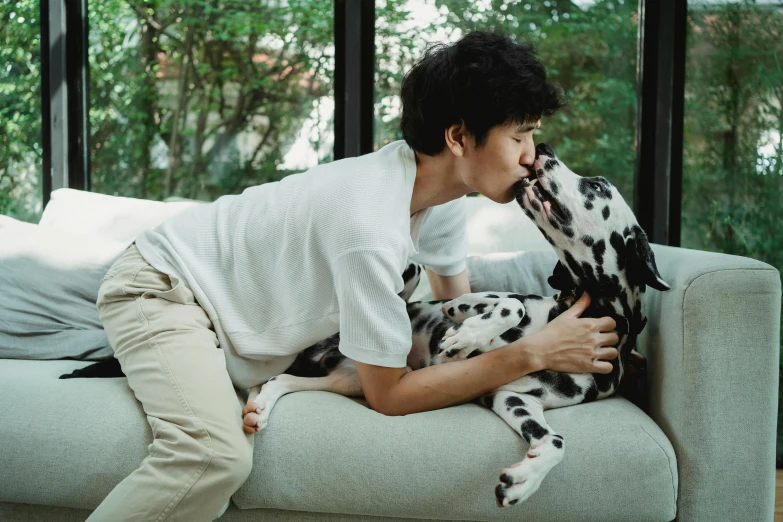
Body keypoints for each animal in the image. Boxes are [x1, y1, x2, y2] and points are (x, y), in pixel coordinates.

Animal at [247, 141, 672, 504]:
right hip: (408, 274)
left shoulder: (514, 398)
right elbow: (509, 307)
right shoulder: (463, 302)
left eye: (597, 186)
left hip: (352, 381)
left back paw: (262, 404)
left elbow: (555, 441)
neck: (583, 309)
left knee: (282, 380)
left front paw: (524, 480)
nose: (543, 148)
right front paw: (467, 336)